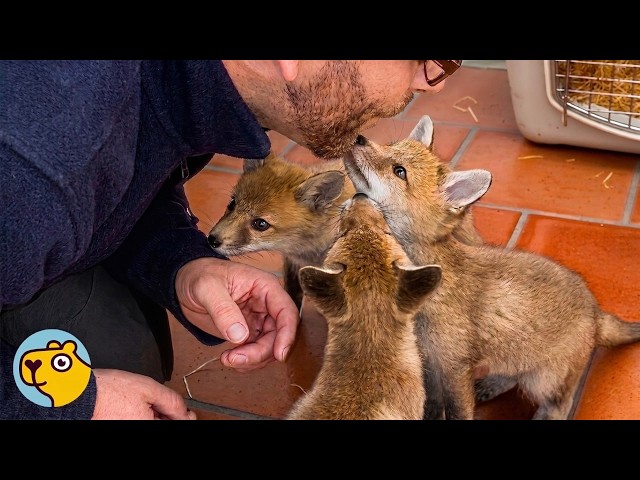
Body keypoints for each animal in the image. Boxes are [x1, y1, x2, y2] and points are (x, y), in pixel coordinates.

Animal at [207, 123, 482, 311]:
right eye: (232, 204)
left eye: (260, 224)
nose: (212, 240)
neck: (308, 250)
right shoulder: (292, 263)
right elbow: (291, 299)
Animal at [343, 114, 640, 420]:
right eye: (390, 145)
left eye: (399, 171)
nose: (359, 138)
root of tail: (596, 310)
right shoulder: (430, 363)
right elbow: (433, 406)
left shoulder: (454, 366)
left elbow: (458, 412)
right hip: (514, 357)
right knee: (512, 375)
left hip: (544, 382)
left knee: (559, 405)